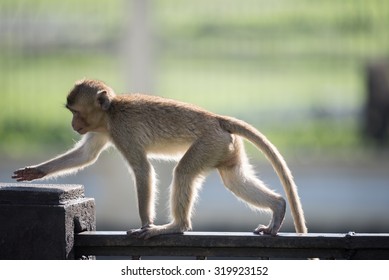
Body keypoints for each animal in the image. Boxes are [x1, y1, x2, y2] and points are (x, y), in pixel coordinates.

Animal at [12, 78, 306, 238]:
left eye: (75, 112)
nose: (73, 124)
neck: (110, 113)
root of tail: (217, 119)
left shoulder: (121, 131)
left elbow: (143, 170)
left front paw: (145, 224)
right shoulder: (103, 129)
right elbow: (86, 155)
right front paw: (35, 172)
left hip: (209, 142)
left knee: (184, 172)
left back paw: (175, 226)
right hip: (225, 147)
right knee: (234, 180)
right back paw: (278, 207)